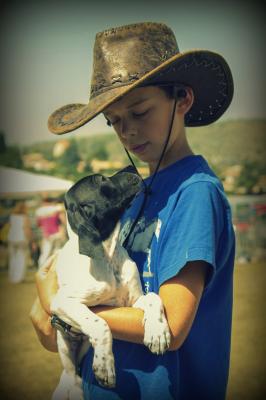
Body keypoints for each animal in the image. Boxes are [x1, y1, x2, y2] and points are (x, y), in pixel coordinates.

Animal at [50, 164, 170, 398]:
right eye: (100, 180)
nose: (131, 166)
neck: (108, 256)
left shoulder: (133, 301)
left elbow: (154, 298)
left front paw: (158, 332)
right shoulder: (62, 302)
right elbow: (100, 324)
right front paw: (104, 364)